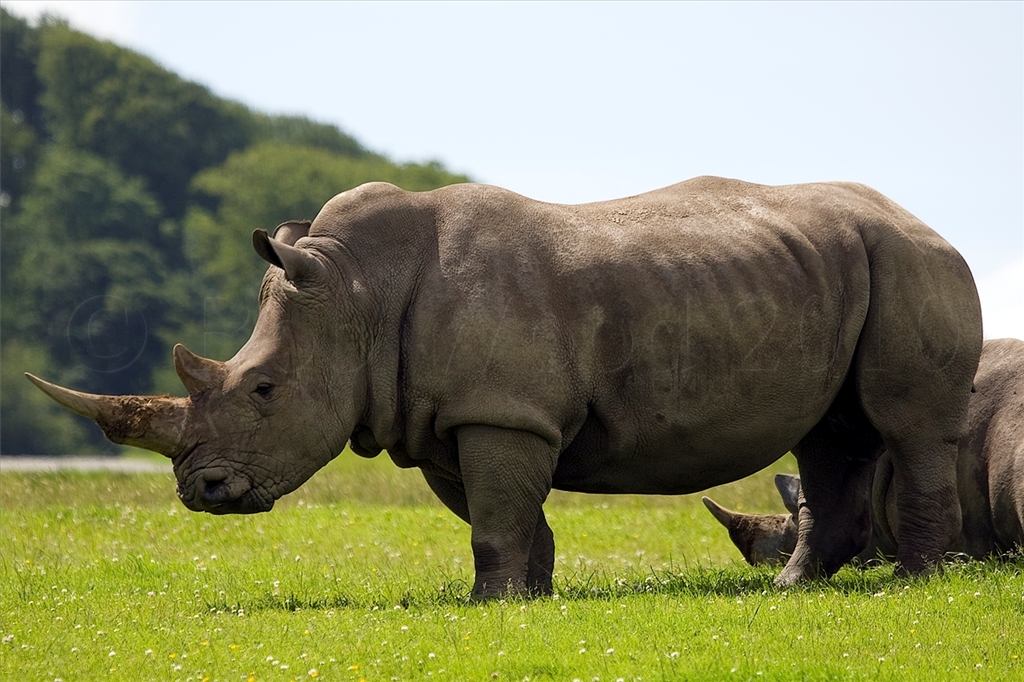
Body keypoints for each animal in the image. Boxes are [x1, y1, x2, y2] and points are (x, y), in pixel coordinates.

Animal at [27, 177, 982, 597]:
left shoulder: (502, 414)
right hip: (844, 268)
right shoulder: (446, 416)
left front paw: (489, 604)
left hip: (915, 265)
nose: (205, 492)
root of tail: (922, 220)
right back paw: (790, 590)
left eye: (261, 390)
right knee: (832, 434)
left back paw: (913, 584)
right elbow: (503, 515)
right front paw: (529, 598)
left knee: (907, 427)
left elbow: (495, 515)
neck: (357, 291)